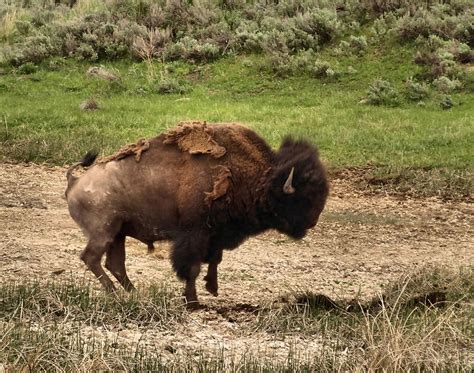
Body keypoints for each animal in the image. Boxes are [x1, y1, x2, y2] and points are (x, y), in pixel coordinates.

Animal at [65, 122, 328, 306]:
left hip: (118, 234)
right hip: (104, 231)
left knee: (115, 263)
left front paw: (211, 288)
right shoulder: (195, 234)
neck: (259, 176)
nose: (313, 222)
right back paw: (113, 292)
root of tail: (75, 182)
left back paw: (133, 292)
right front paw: (193, 301)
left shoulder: (216, 234)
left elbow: (213, 259)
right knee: (91, 258)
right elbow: (192, 267)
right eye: (305, 196)